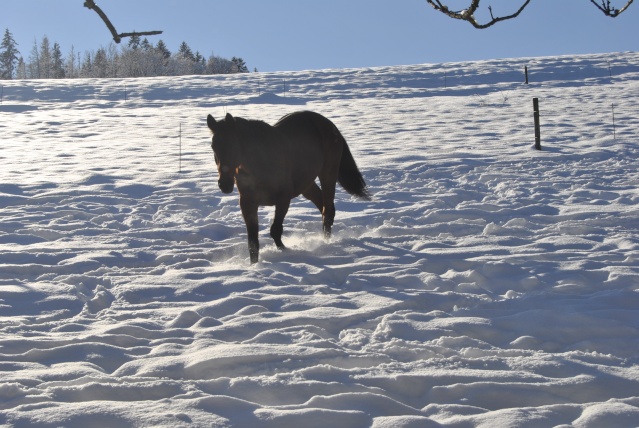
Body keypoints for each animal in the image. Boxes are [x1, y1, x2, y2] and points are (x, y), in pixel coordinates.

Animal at [208, 110, 370, 264]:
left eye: (233, 144)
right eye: (213, 146)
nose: (224, 184)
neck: (260, 161)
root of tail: (329, 124)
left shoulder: (283, 199)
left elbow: (275, 230)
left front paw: (286, 251)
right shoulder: (247, 203)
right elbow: (253, 243)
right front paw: (254, 266)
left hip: (328, 174)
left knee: (327, 211)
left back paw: (326, 243)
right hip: (307, 184)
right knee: (324, 207)